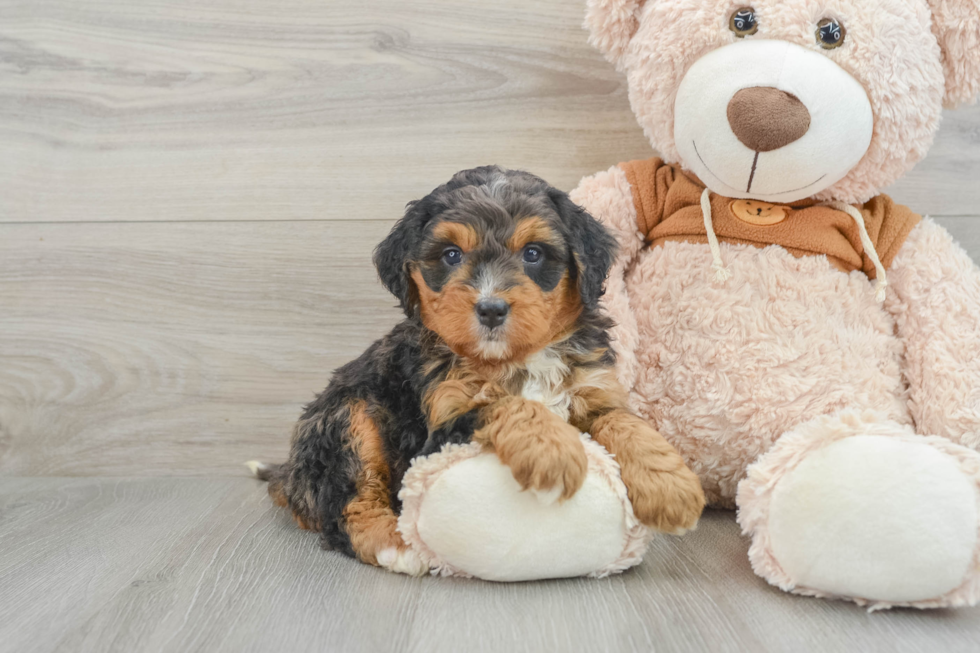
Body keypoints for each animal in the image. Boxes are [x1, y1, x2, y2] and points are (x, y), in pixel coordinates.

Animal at [249, 168, 700, 576]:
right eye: (451, 255)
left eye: (533, 253)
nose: (491, 309)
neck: (515, 359)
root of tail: (290, 473)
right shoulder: (440, 423)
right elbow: (506, 404)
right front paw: (552, 450)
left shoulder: (595, 389)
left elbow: (628, 424)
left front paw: (671, 486)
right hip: (348, 419)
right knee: (348, 504)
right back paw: (394, 546)